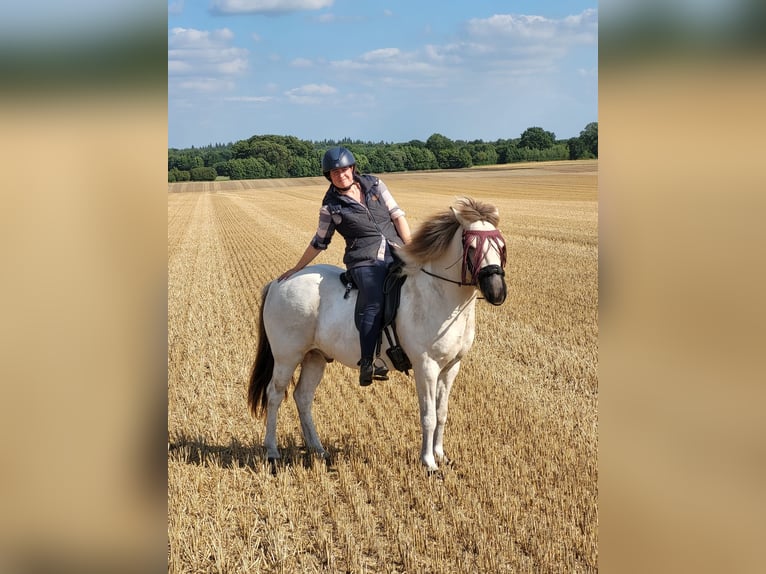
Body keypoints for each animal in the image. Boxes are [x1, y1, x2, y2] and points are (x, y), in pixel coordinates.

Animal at [248, 197, 508, 472]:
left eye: (501, 246)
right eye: (472, 247)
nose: (497, 291)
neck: (438, 295)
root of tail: (280, 281)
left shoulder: (450, 367)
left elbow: (442, 413)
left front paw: (440, 455)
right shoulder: (426, 367)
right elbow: (428, 415)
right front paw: (428, 463)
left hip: (315, 356)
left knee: (303, 397)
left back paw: (318, 450)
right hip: (287, 357)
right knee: (275, 395)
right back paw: (272, 453)